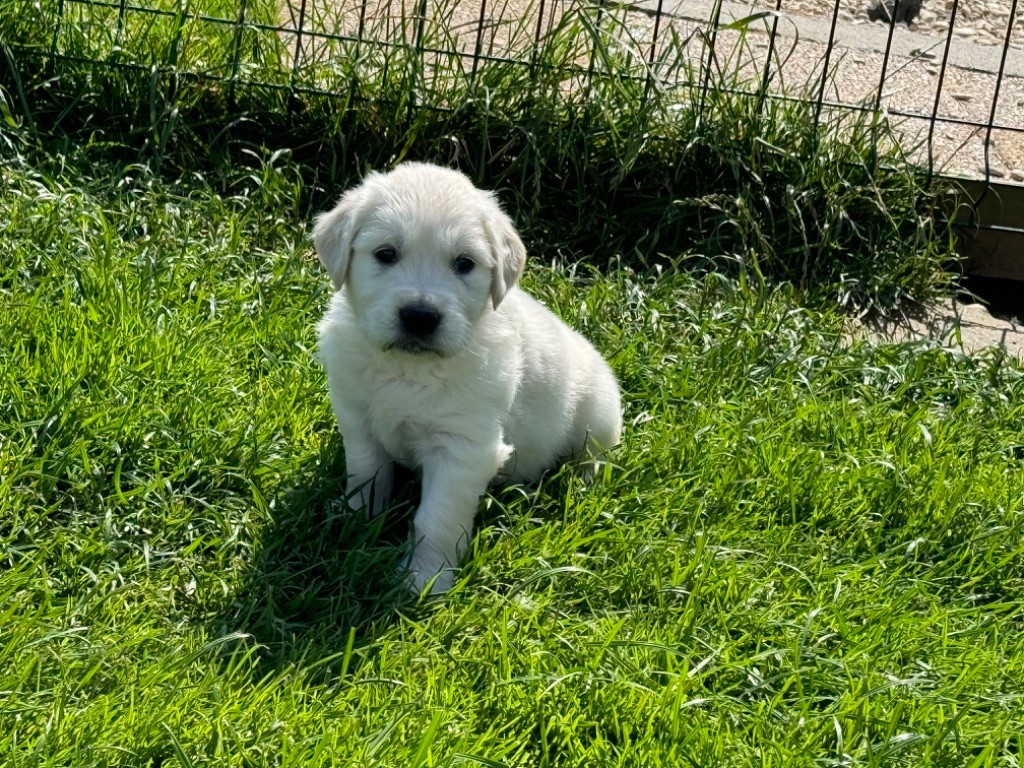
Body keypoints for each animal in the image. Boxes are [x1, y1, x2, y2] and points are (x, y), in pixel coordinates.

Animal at [311, 162, 618, 593]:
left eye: (464, 263)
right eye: (386, 254)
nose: (420, 316)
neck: (408, 368)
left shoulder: (462, 448)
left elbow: (436, 518)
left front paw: (426, 579)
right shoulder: (357, 419)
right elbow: (367, 474)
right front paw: (353, 521)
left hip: (599, 415)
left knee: (593, 457)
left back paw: (579, 484)